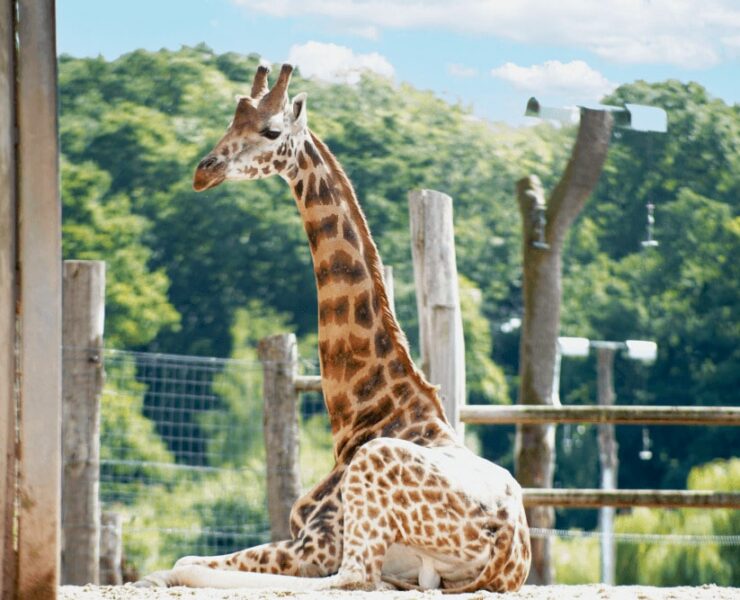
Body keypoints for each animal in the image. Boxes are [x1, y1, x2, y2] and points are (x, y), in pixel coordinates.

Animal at [138, 64, 530, 592]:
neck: (364, 416)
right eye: (230, 120)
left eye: (271, 131)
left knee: (350, 578)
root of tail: (507, 543)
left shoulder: (316, 543)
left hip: (368, 493)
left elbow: (181, 563)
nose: (205, 170)